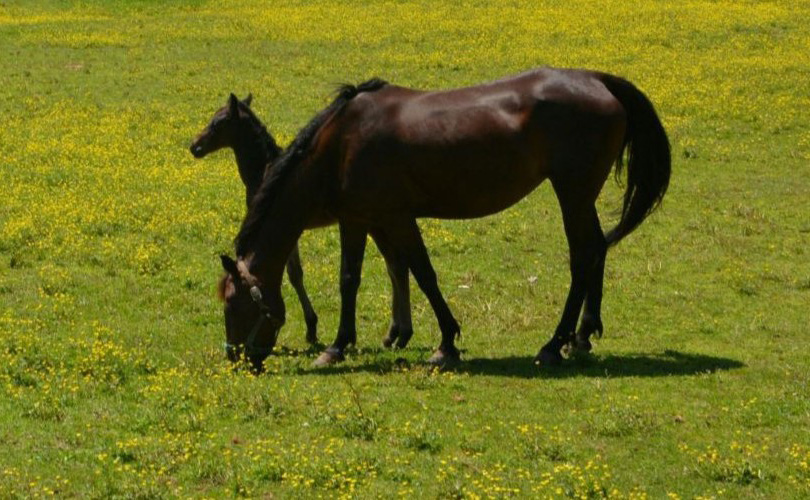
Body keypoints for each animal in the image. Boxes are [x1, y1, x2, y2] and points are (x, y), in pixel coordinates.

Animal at [190, 93, 416, 360]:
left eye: (218, 122)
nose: (195, 146)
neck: (264, 169)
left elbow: (295, 274)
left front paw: (311, 328)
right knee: (396, 267)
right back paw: (395, 333)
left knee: (397, 267)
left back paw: (399, 332)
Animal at [218, 67, 671, 370]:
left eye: (232, 304)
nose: (238, 360)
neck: (340, 145)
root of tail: (597, 80)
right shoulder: (369, 220)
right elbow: (379, 276)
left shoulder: (384, 219)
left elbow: (408, 275)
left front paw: (443, 343)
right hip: (580, 196)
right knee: (596, 249)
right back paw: (581, 336)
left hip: (572, 193)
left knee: (582, 257)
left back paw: (553, 344)